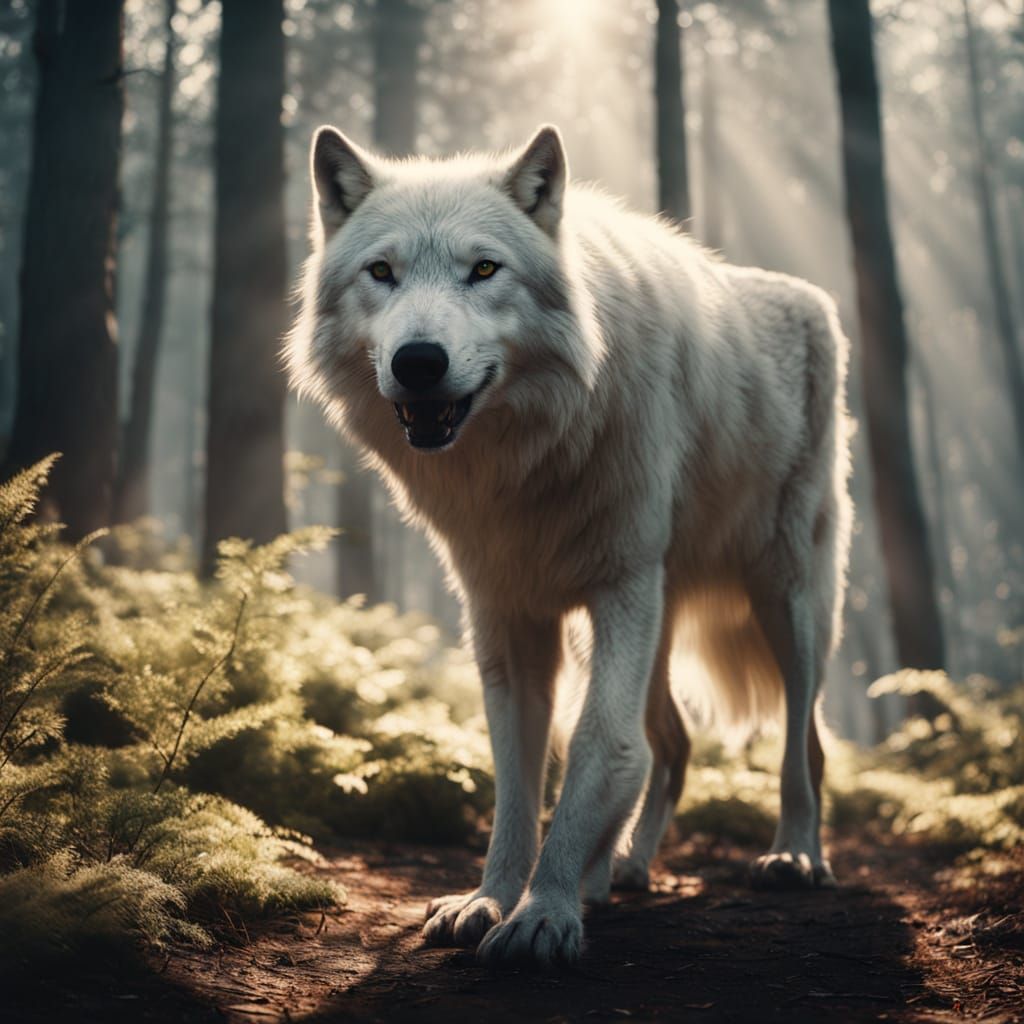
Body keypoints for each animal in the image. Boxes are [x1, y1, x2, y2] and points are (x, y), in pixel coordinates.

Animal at [287, 124, 853, 968]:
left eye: (485, 269)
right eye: (381, 272)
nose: (418, 360)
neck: (526, 461)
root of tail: (813, 297)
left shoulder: (619, 589)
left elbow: (595, 747)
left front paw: (545, 912)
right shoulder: (507, 613)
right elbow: (519, 778)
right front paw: (492, 898)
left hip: (783, 602)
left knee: (800, 742)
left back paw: (793, 856)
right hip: (659, 616)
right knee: (672, 744)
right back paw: (624, 869)